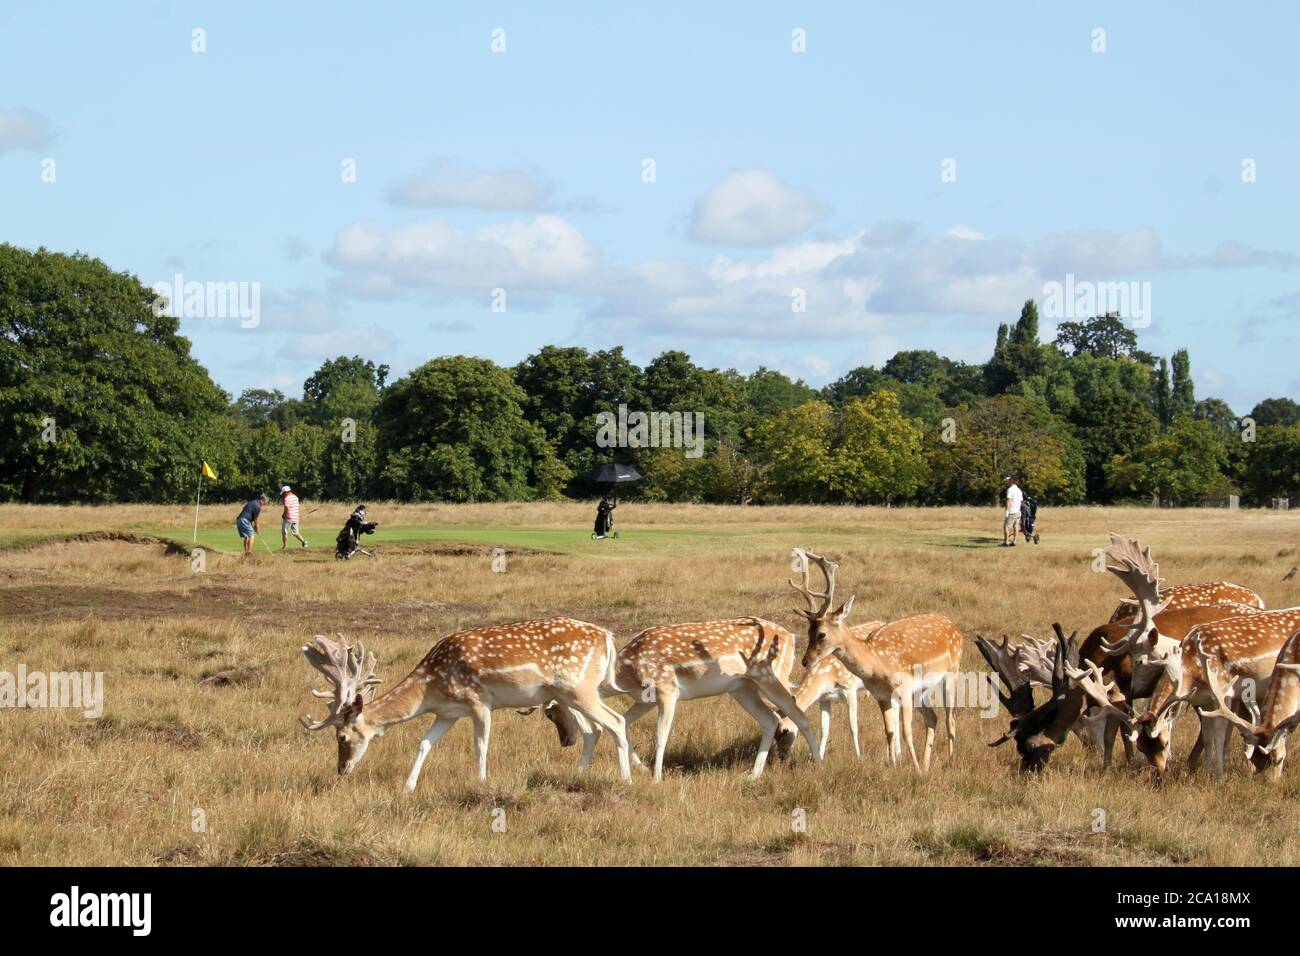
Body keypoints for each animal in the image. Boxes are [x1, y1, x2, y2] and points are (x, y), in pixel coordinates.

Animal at [299, 621, 634, 790]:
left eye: (342, 737)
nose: (341, 769)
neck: (431, 687)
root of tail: (607, 636)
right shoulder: (447, 713)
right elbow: (424, 743)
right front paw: (408, 787)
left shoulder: (479, 701)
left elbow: (481, 745)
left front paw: (482, 782)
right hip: (569, 694)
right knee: (595, 730)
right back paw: (579, 777)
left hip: (580, 689)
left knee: (616, 721)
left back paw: (627, 779)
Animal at [785, 548, 961, 775]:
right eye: (807, 631)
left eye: (821, 634)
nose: (806, 661)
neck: (877, 663)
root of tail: (955, 628)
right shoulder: (881, 695)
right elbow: (889, 731)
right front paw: (894, 766)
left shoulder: (904, 686)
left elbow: (906, 732)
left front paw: (914, 771)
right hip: (922, 690)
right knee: (932, 718)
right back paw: (926, 764)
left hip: (953, 671)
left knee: (950, 718)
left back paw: (949, 762)